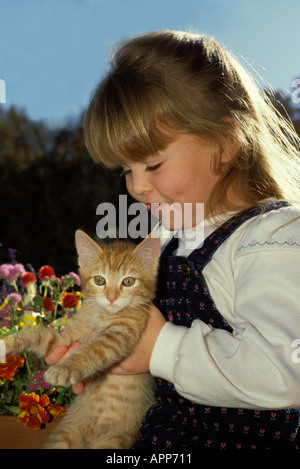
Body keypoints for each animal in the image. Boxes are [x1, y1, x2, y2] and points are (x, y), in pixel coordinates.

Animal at [4, 232, 159, 448]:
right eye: (100, 280)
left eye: (128, 282)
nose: (111, 298)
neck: (102, 314)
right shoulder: (65, 338)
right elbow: (39, 336)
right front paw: (6, 342)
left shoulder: (121, 334)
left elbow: (93, 350)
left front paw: (64, 369)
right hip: (66, 433)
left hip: (115, 441)